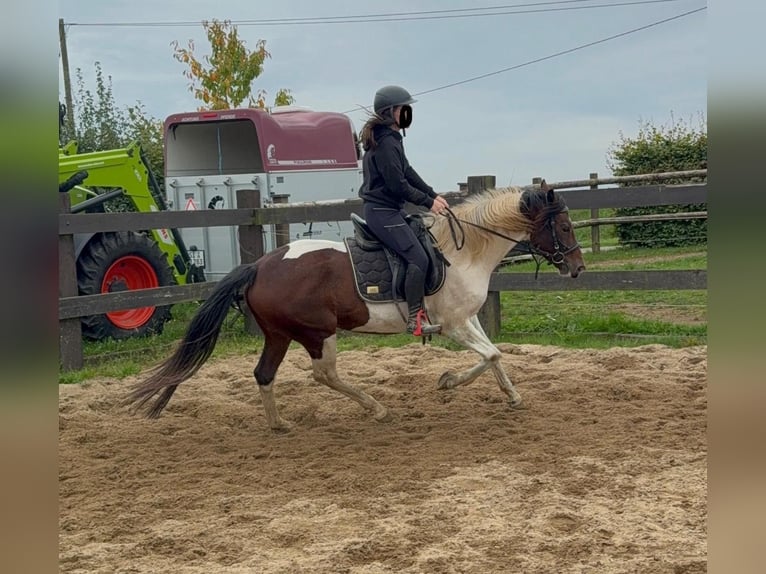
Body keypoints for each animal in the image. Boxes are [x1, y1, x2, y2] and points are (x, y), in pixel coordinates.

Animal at [124, 181, 586, 430]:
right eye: (563, 226)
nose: (578, 268)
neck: (463, 250)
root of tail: (258, 266)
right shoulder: (453, 324)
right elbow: (490, 354)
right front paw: (450, 381)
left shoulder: (467, 318)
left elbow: (495, 354)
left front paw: (508, 395)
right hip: (317, 332)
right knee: (324, 375)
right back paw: (376, 408)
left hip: (278, 334)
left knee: (264, 374)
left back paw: (279, 424)